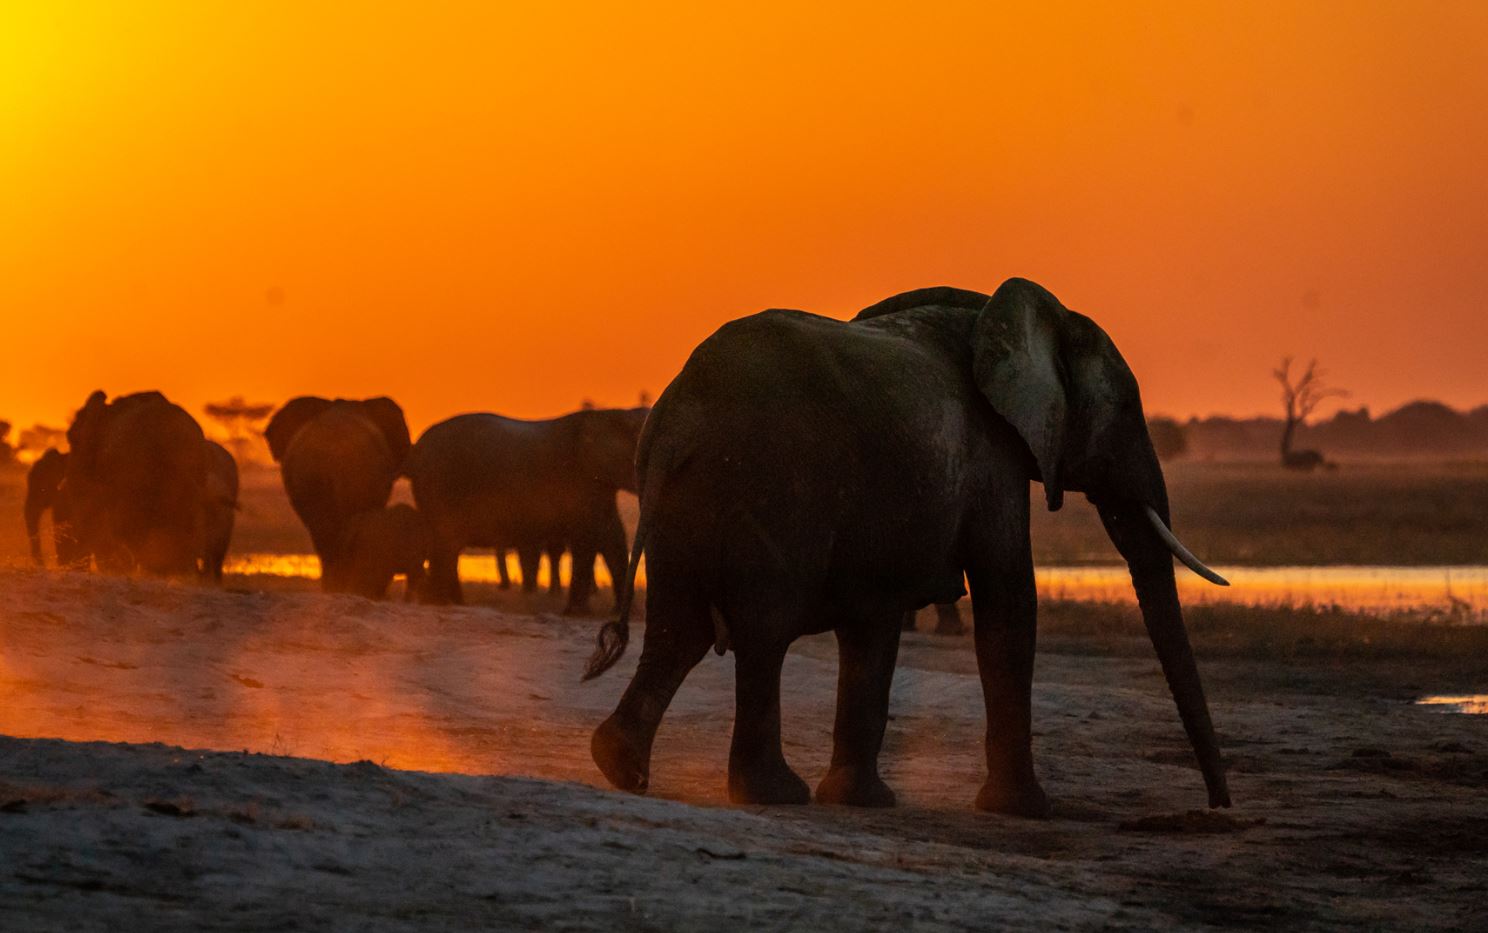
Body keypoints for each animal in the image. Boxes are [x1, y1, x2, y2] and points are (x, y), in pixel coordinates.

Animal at [407, 407, 645, 613]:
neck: (612, 414)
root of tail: (417, 449)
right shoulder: (581, 481)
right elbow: (587, 539)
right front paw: (578, 613)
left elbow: (612, 538)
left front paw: (622, 614)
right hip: (442, 484)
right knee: (447, 543)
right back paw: (440, 603)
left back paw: (448, 602)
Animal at [583, 279, 1232, 815]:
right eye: (1125, 407)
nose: (1218, 806)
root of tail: (681, 411)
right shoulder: (991, 456)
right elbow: (1007, 598)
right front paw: (1025, 810)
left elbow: (873, 623)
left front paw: (860, 800)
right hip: (773, 483)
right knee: (763, 627)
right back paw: (773, 794)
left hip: (684, 495)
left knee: (680, 627)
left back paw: (621, 767)